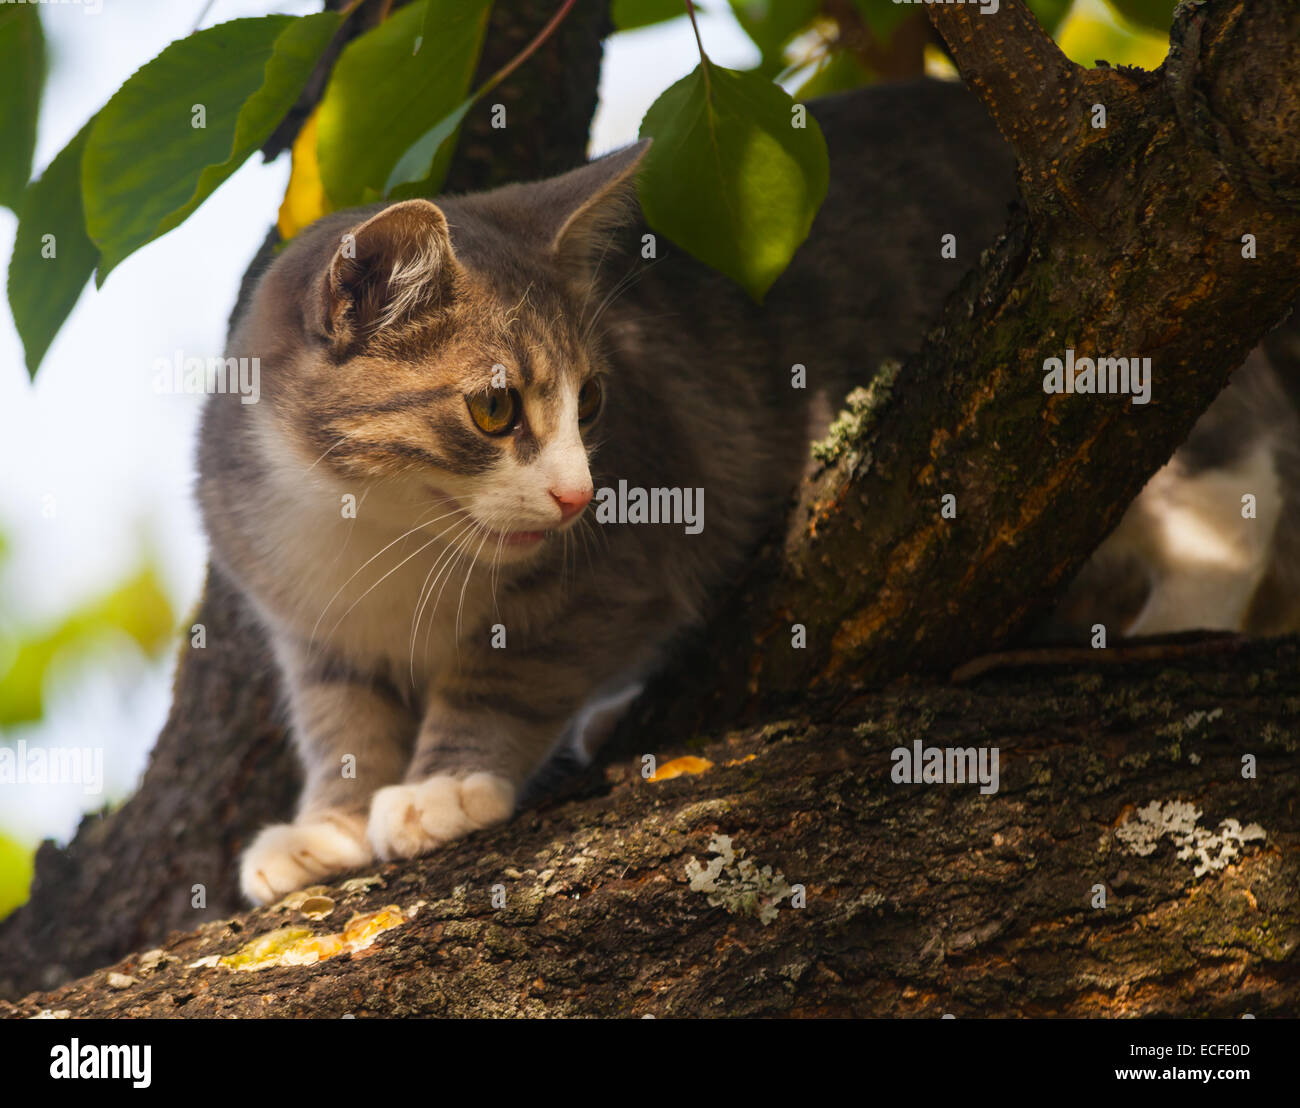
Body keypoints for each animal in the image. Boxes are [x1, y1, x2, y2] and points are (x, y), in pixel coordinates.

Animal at [195, 79, 1300, 910]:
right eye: (497, 407)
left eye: (594, 401)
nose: (576, 495)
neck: (371, 532)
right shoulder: (301, 612)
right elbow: (342, 713)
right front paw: (328, 823)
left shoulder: (621, 554)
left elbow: (515, 667)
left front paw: (445, 783)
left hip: (1144, 339)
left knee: (1229, 478)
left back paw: (1182, 617)